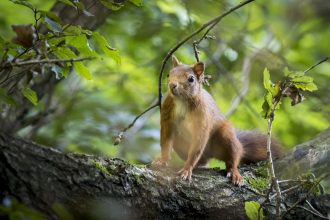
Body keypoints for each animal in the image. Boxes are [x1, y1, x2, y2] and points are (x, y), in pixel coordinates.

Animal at [153, 55, 282, 185]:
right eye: (169, 74)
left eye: (191, 79)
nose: (172, 85)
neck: (182, 101)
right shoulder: (167, 115)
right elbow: (166, 141)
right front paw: (162, 160)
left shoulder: (203, 117)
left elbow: (197, 147)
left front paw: (186, 169)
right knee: (202, 161)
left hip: (227, 136)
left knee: (234, 156)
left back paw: (234, 173)